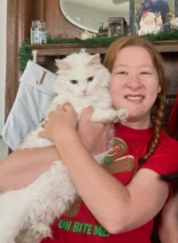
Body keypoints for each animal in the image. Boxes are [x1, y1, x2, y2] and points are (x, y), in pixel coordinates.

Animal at [0, 52, 128, 242]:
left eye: (90, 79)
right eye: (73, 82)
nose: (84, 90)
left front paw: (121, 115)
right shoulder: (81, 114)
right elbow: (99, 114)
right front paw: (117, 114)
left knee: (30, 232)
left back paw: (40, 230)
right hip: (13, 220)